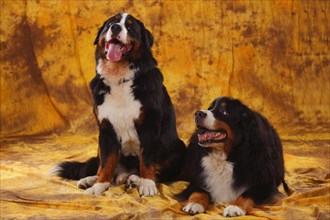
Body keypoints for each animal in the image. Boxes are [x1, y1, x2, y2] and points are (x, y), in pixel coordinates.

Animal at [50, 12, 187, 197]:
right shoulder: (106, 129)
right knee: (102, 166)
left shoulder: (149, 125)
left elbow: (147, 161)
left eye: (129, 26)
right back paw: (91, 180)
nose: (115, 28)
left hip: (178, 147)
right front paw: (99, 186)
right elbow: (107, 163)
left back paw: (135, 179)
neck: (119, 78)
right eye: (111, 24)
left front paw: (147, 184)